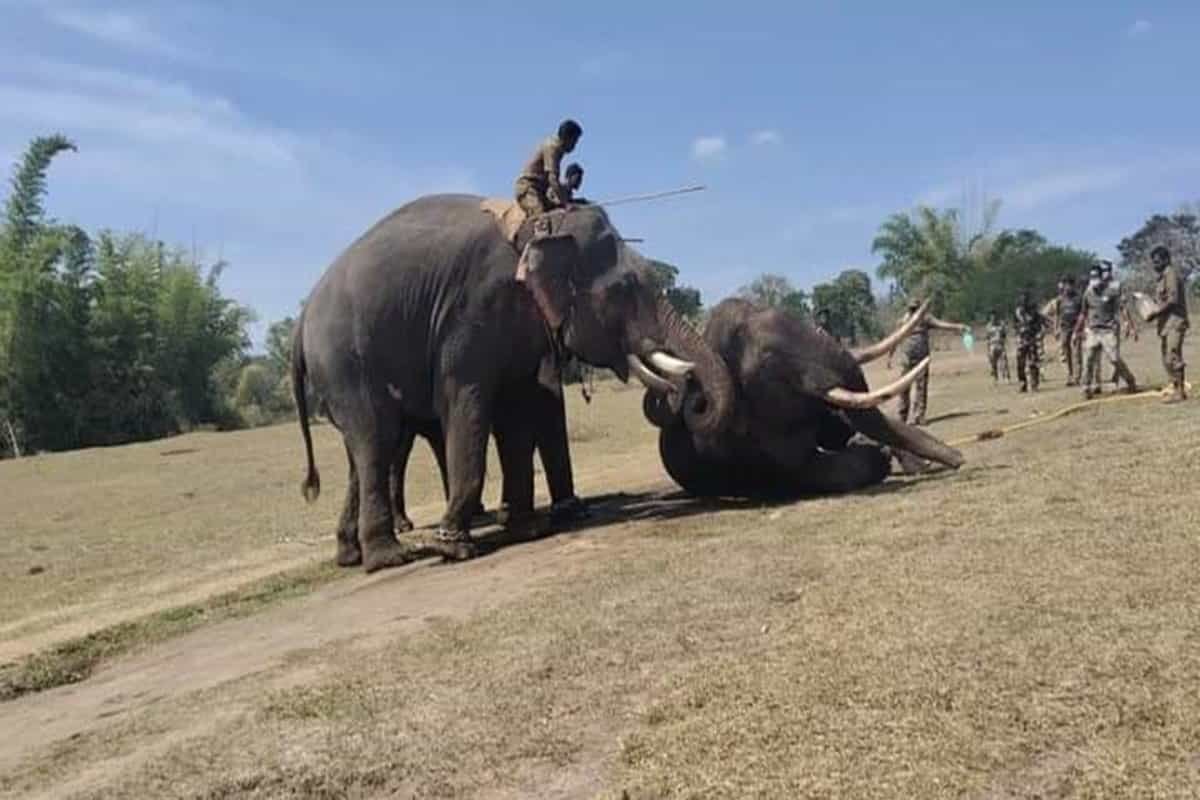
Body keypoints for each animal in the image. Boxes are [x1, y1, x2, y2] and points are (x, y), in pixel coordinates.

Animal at [292, 194, 736, 572]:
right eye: (624, 289)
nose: (691, 399)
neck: (541, 228)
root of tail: (303, 317)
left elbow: (517, 407)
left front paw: (527, 529)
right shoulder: (473, 312)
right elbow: (468, 401)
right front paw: (452, 547)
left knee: (365, 450)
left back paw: (351, 555)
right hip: (345, 361)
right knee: (377, 438)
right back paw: (391, 558)